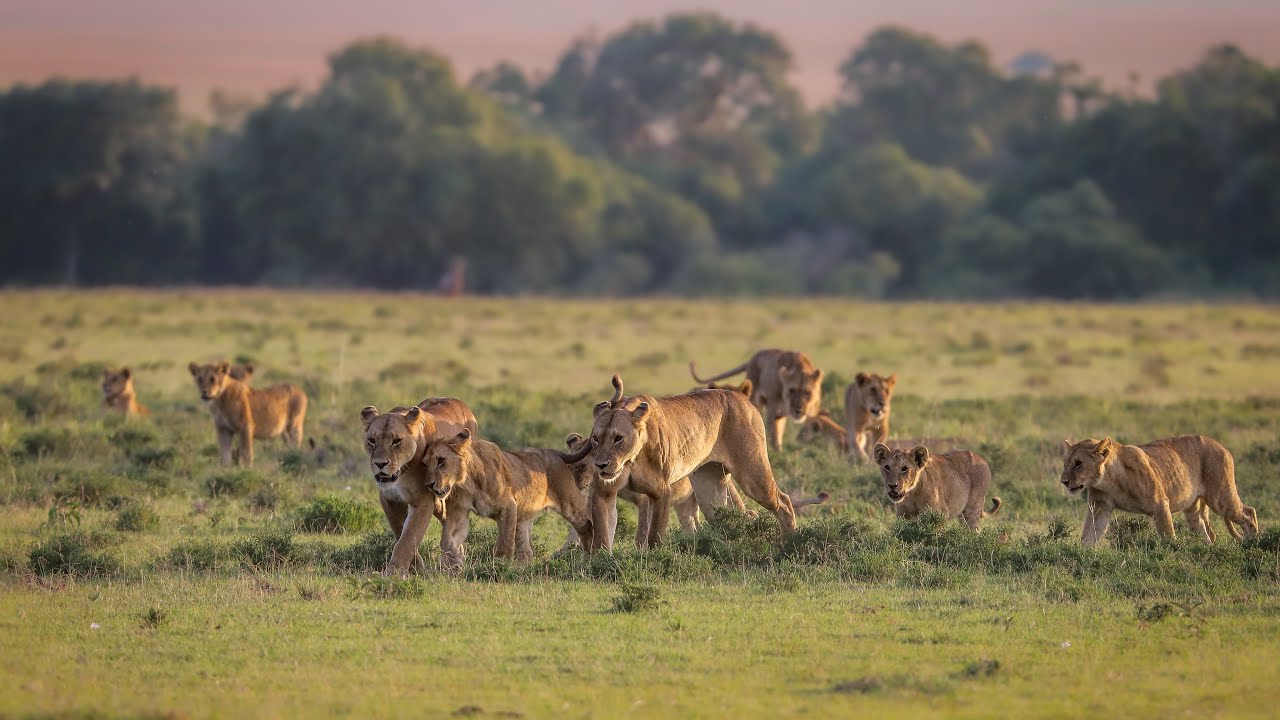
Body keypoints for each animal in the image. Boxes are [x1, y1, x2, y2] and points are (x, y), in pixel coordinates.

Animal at [360, 399, 478, 575]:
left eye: (396, 441)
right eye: (372, 441)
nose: (380, 464)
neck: (401, 473)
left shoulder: (422, 501)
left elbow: (408, 537)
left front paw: (394, 573)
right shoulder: (388, 499)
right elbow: (400, 532)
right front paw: (416, 568)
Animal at [420, 428, 595, 571]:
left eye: (441, 460)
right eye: (424, 464)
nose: (428, 484)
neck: (467, 482)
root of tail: (550, 451)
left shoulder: (508, 506)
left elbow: (504, 544)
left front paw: (500, 566)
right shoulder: (458, 513)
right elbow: (448, 541)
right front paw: (450, 567)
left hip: (569, 503)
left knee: (586, 525)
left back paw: (589, 556)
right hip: (524, 514)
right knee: (526, 551)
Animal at [579, 374, 806, 550]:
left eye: (618, 438)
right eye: (595, 438)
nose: (601, 465)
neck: (631, 459)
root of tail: (741, 397)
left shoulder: (661, 491)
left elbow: (654, 536)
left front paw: (652, 560)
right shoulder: (603, 492)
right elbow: (602, 535)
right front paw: (600, 562)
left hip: (753, 475)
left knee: (784, 502)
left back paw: (789, 544)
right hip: (709, 486)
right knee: (724, 518)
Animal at [689, 349, 823, 451]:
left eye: (807, 393)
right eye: (791, 390)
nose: (798, 410)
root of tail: (753, 357)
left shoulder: (813, 413)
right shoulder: (773, 410)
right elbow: (774, 436)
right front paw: (778, 453)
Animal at [1060, 435, 1259, 545]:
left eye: (1078, 464)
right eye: (1066, 463)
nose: (1064, 481)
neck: (1109, 480)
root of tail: (1221, 446)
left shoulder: (1160, 504)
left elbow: (1168, 535)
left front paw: (1171, 554)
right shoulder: (1099, 507)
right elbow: (1089, 534)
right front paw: (1082, 555)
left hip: (1221, 498)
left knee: (1249, 512)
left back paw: (1253, 543)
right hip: (1194, 508)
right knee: (1206, 532)